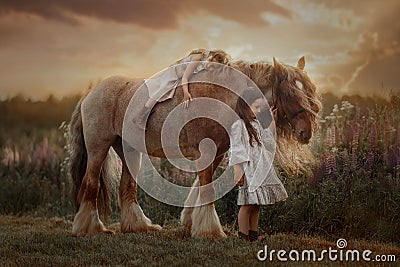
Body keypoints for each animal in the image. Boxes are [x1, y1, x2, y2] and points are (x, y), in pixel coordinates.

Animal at [67, 57, 320, 239]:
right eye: (290, 93)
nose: (306, 132)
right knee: (90, 183)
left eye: (310, 92)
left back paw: (138, 226)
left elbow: (200, 186)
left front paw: (191, 221)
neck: (223, 97)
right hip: (98, 148)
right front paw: (210, 231)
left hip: (129, 151)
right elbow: (207, 189)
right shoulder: (206, 152)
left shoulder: (217, 153)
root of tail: (89, 94)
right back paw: (90, 228)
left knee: (127, 187)